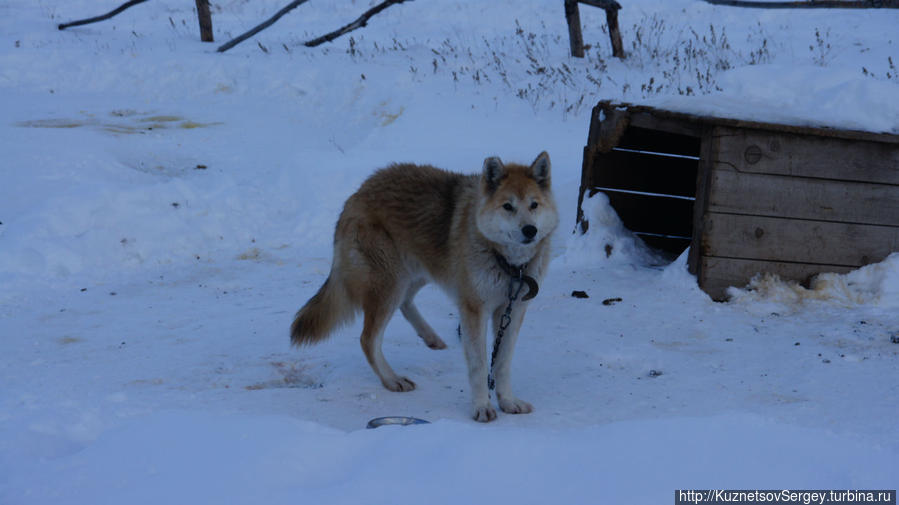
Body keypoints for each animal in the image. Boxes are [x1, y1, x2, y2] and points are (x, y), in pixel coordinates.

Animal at [290, 152, 556, 420]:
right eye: (508, 206)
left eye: (534, 205)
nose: (530, 230)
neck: (509, 264)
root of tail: (360, 191)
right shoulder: (474, 310)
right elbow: (480, 366)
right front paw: (482, 407)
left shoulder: (512, 311)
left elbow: (502, 364)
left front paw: (508, 402)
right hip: (391, 283)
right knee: (368, 339)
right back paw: (392, 379)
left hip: (417, 274)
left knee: (405, 304)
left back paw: (431, 338)